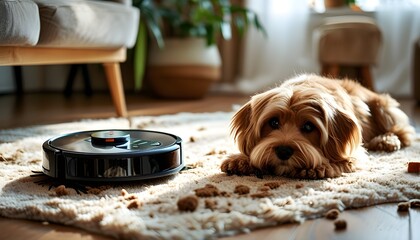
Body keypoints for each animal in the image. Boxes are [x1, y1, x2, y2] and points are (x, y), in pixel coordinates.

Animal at [221, 74, 416, 178]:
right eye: (274, 122)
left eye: (308, 127)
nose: (283, 151)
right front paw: (240, 159)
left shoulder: (354, 151)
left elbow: (344, 159)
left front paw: (316, 167)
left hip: (383, 108)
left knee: (404, 132)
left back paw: (386, 140)